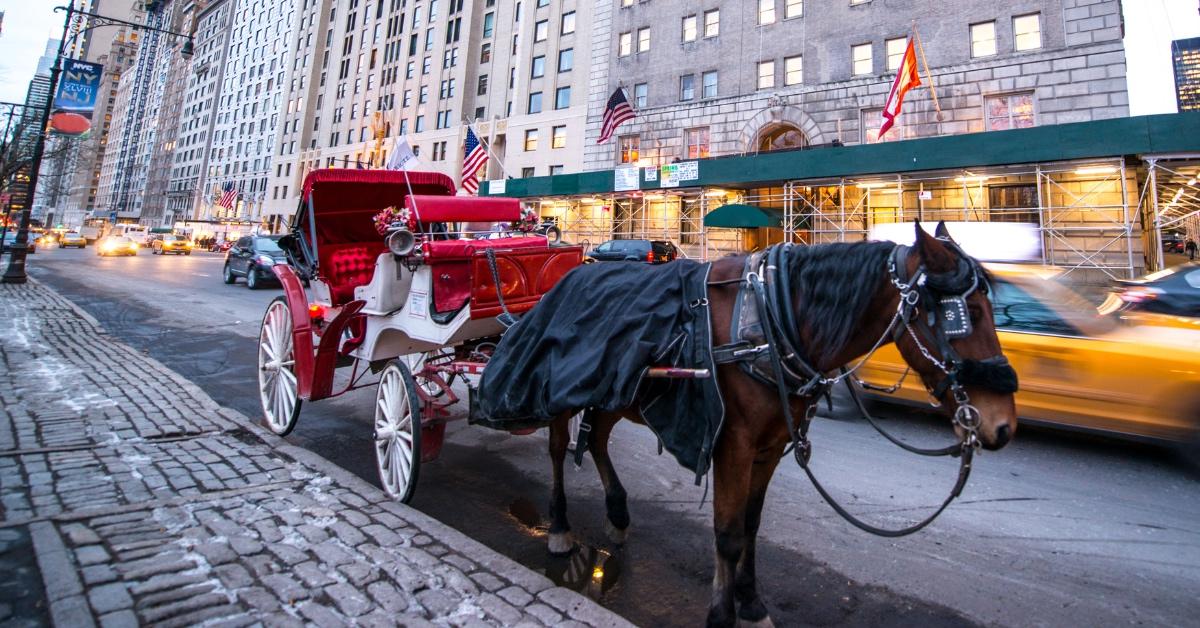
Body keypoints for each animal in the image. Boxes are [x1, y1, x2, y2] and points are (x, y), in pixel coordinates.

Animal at [549, 223, 1017, 624]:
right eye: (969, 314)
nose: (1005, 426)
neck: (771, 320)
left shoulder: (770, 447)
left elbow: (751, 526)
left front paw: (752, 603)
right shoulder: (732, 445)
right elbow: (727, 533)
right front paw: (722, 614)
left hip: (611, 391)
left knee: (596, 441)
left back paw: (617, 514)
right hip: (558, 393)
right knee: (557, 451)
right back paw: (559, 527)